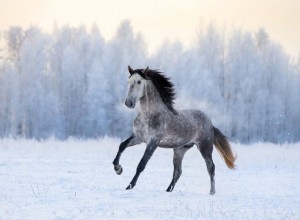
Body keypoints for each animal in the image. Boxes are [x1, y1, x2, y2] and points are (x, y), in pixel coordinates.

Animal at [111, 65, 236, 194]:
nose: (128, 103)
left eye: (139, 82)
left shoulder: (153, 142)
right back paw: (168, 190)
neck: (150, 115)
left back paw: (212, 192)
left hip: (205, 147)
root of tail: (210, 122)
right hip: (179, 150)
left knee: (210, 167)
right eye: (129, 81)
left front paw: (130, 185)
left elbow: (141, 164)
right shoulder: (139, 137)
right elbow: (122, 145)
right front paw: (118, 169)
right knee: (178, 171)